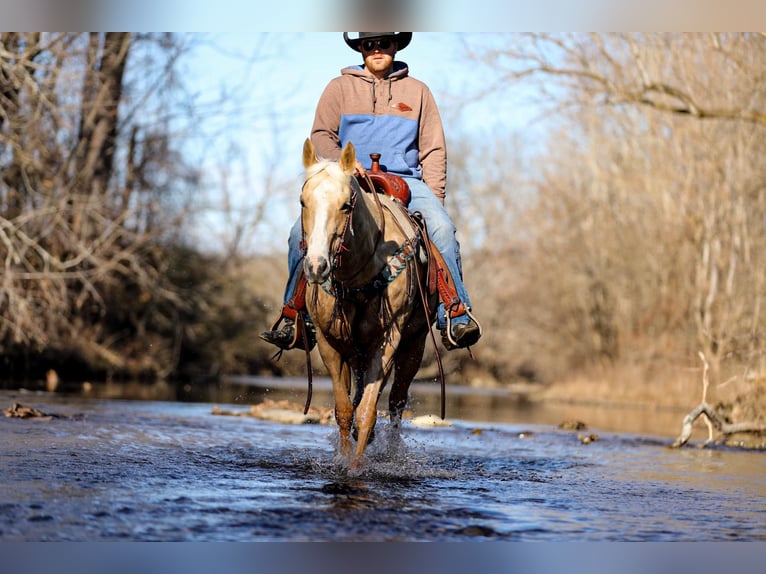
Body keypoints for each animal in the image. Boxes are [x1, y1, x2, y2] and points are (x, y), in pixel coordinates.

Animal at [304, 138, 440, 468]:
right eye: (303, 202)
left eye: (346, 204)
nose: (316, 266)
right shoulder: (329, 343)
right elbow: (344, 411)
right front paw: (343, 461)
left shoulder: (388, 340)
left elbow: (367, 412)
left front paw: (356, 468)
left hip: (413, 346)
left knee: (396, 403)